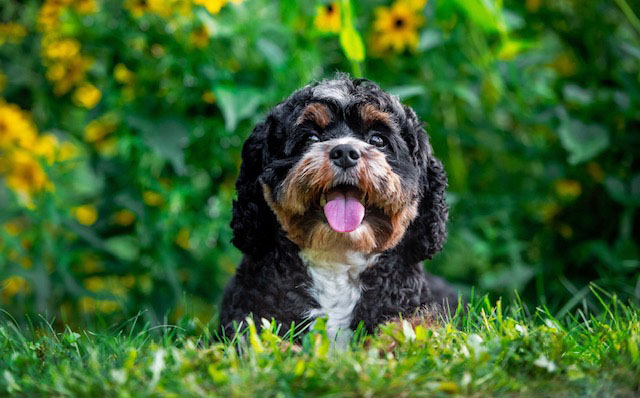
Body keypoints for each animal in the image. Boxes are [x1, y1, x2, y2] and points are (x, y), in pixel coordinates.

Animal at [220, 75, 460, 346]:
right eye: (310, 138)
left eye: (378, 140)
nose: (345, 151)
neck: (338, 262)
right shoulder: (252, 316)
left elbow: (408, 329)